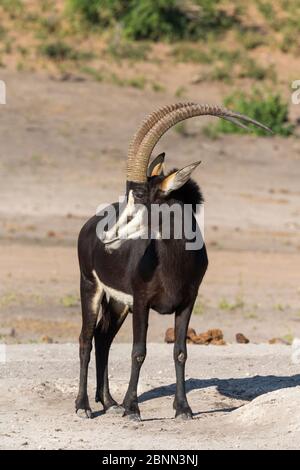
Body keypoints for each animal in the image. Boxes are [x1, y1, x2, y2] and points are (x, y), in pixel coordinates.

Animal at [75, 102, 272, 418]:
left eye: (140, 196)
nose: (107, 236)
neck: (173, 263)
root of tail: (88, 224)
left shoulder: (187, 302)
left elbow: (180, 351)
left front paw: (183, 408)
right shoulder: (142, 301)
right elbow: (138, 351)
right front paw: (133, 408)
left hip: (118, 303)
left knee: (103, 339)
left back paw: (109, 402)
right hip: (90, 288)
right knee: (86, 340)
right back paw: (83, 406)